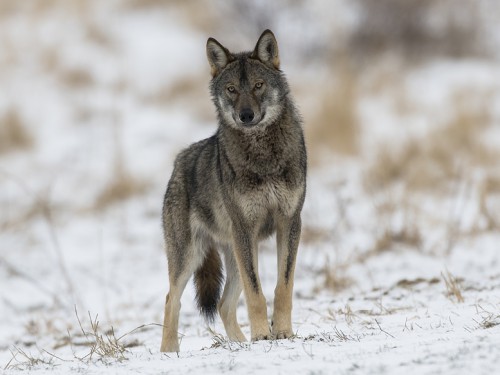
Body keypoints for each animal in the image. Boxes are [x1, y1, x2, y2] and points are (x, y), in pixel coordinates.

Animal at [161, 28, 308, 352]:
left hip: (236, 253)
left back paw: (240, 344)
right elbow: (256, 293)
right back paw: (168, 353)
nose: (246, 115)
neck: (263, 156)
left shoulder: (290, 222)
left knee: (223, 305)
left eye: (258, 85)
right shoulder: (245, 228)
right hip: (192, 256)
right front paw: (263, 335)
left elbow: (283, 286)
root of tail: (178, 162)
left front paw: (282, 332)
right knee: (171, 299)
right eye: (231, 89)